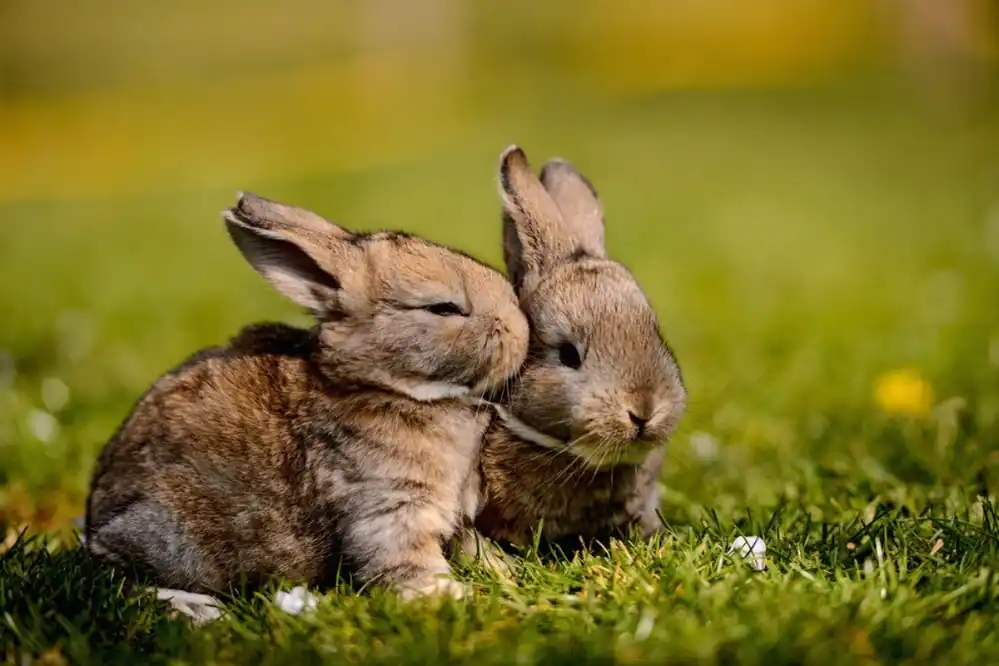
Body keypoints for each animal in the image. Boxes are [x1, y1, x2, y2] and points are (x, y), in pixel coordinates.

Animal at [85, 192, 529, 609]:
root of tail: (93, 522)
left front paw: (505, 575)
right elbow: (408, 561)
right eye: (443, 308)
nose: (522, 332)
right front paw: (449, 598)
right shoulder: (388, 509)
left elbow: (472, 545)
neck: (388, 386)